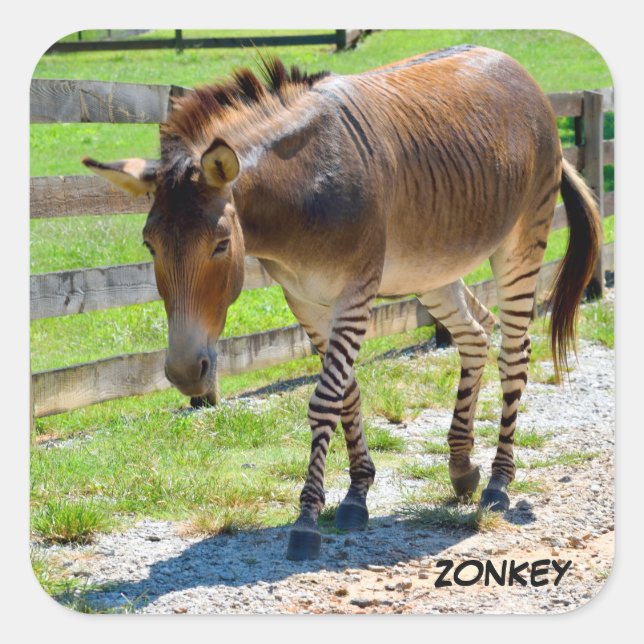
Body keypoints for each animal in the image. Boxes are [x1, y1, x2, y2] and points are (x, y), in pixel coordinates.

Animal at [83, 45, 601, 560]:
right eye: (149, 245)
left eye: (220, 245)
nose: (187, 373)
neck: (303, 191)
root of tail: (511, 63)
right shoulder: (305, 301)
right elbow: (348, 392)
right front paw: (357, 493)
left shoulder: (355, 292)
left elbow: (326, 398)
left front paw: (308, 520)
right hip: (432, 266)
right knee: (475, 334)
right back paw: (460, 466)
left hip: (521, 242)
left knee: (515, 353)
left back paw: (497, 481)